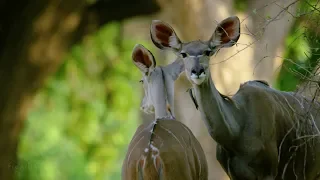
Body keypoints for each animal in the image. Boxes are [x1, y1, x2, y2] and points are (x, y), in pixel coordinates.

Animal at [151, 16, 320, 179]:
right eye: (183, 54)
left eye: (208, 52)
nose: (197, 71)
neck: (236, 131)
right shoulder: (234, 174)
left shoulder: (269, 171)